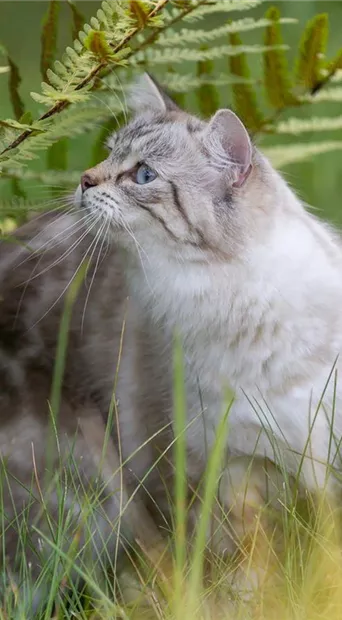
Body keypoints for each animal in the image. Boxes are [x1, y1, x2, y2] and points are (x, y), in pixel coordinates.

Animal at [0, 74, 342, 612]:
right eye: (109, 154)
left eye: (143, 175)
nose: (85, 180)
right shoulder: (220, 465)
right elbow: (245, 567)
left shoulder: (317, 458)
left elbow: (323, 561)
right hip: (89, 491)